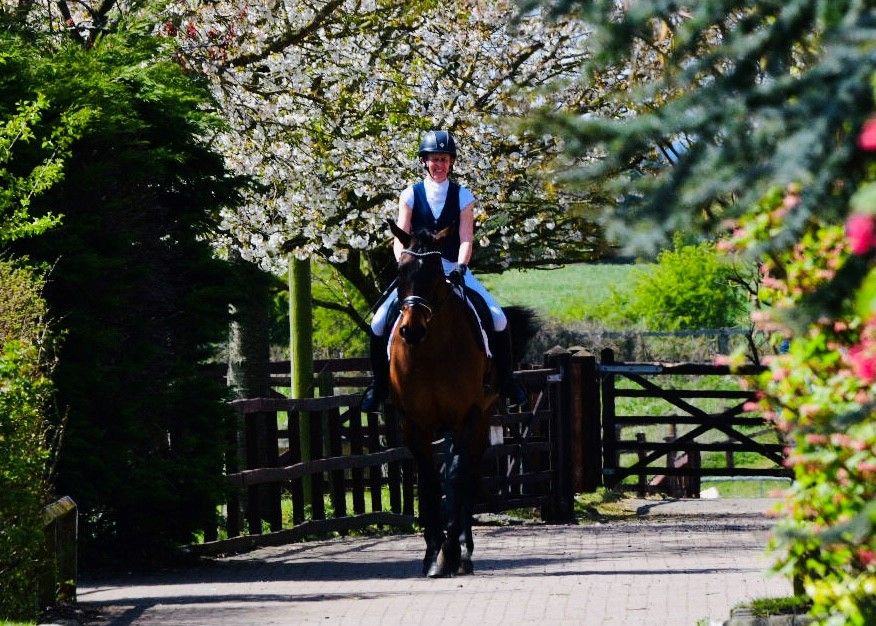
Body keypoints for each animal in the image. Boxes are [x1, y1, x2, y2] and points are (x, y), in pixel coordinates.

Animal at [388, 219, 536, 576]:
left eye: (434, 272)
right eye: (400, 271)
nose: (412, 330)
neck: (430, 351)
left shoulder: (466, 417)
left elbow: (456, 477)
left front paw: (451, 552)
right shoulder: (415, 424)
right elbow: (429, 481)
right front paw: (432, 553)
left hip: (481, 419)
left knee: (467, 474)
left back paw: (465, 552)